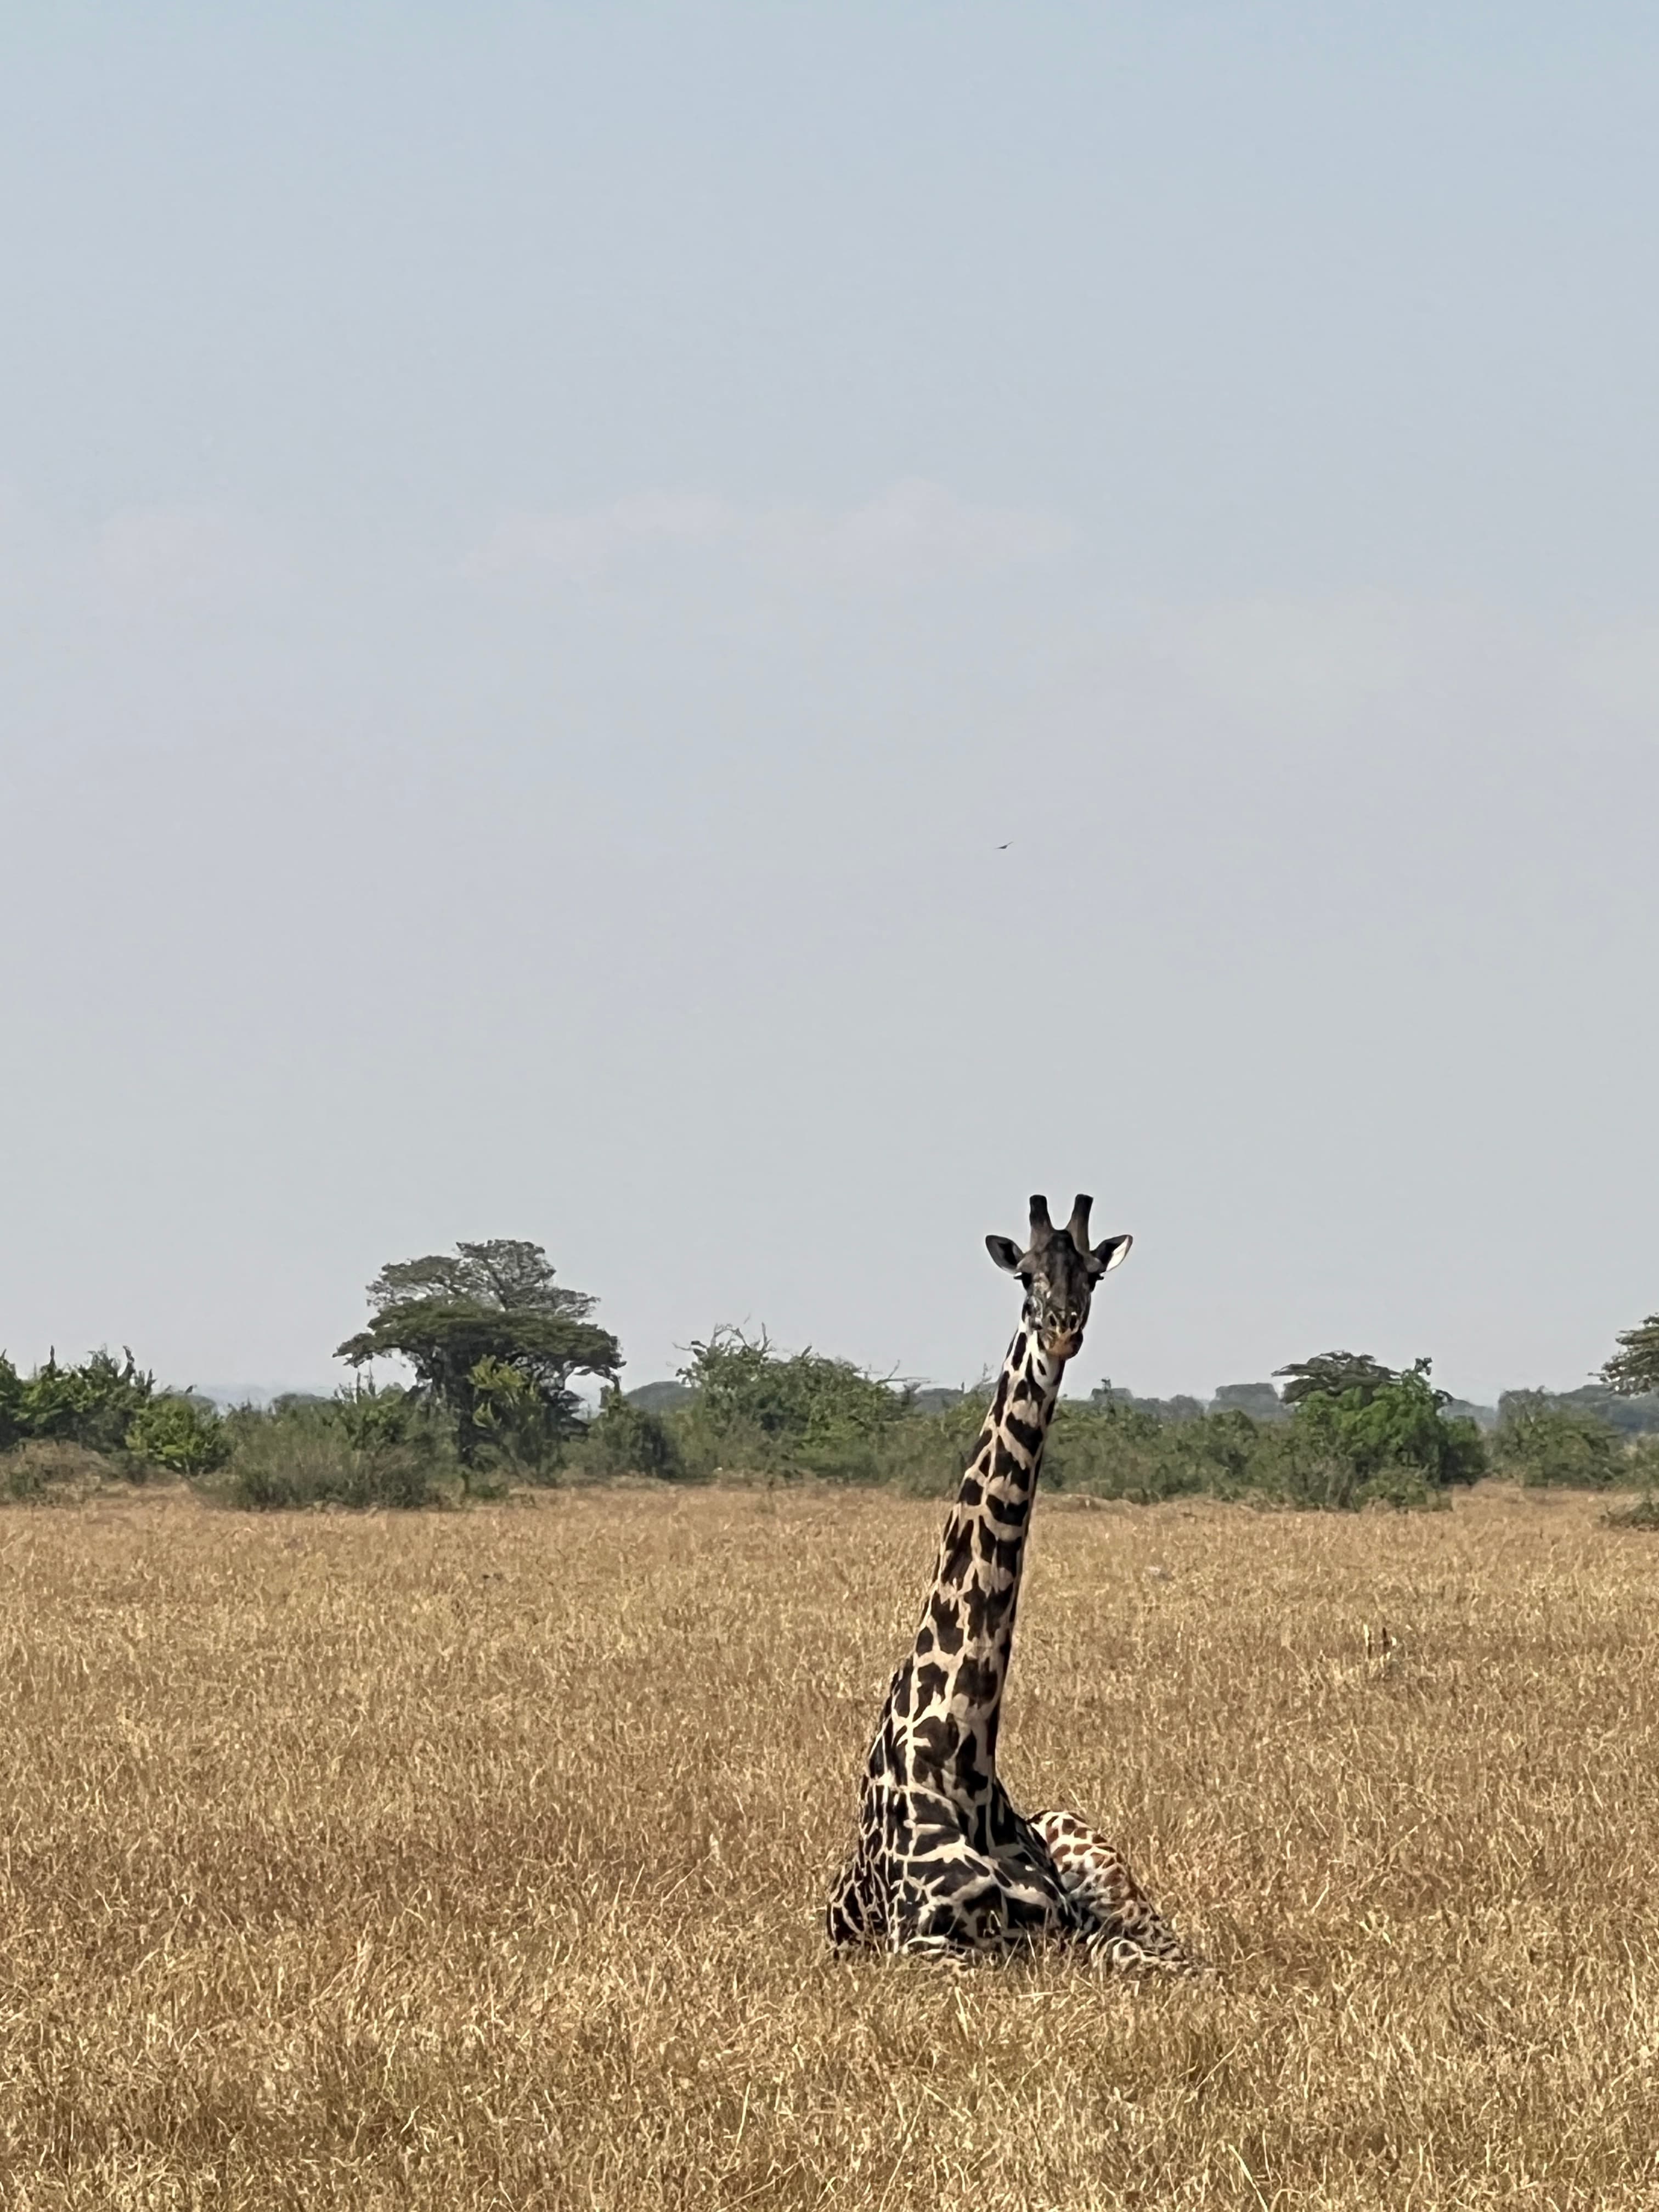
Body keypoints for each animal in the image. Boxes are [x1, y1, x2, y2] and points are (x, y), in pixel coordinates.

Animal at [825, 1193, 1204, 1971]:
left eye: (1092, 1273)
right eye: (1026, 1274)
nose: (1062, 1328)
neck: (959, 1751)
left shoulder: (1064, 1925)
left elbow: (1150, 1961)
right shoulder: (921, 1943)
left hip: (1106, 1862)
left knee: (1178, 1943)